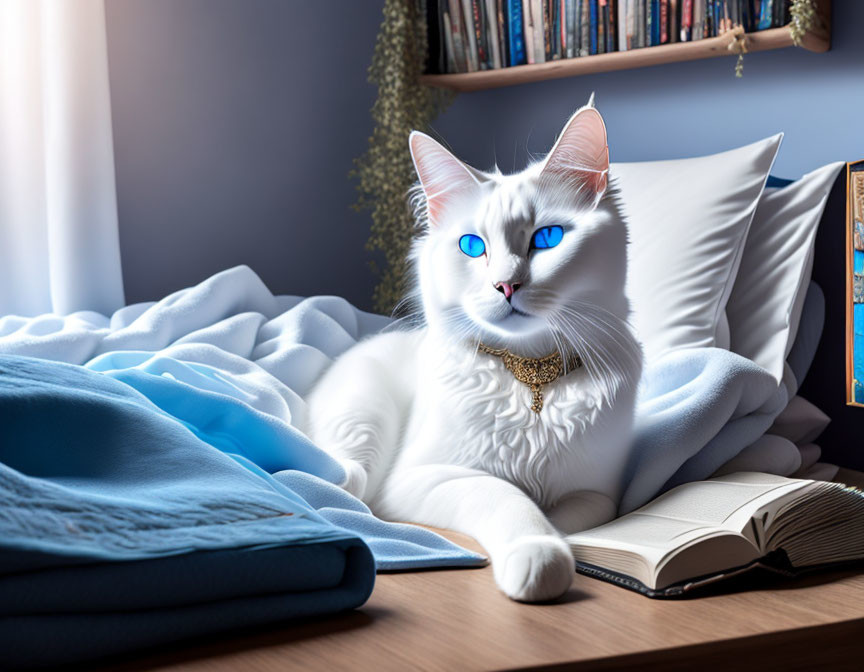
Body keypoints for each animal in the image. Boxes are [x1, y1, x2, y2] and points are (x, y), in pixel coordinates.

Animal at [308, 101, 640, 604]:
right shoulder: (424, 477)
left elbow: (562, 516)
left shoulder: (597, 493)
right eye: (472, 246)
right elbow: (507, 497)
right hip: (363, 425)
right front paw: (541, 556)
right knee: (344, 482)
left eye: (547, 238)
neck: (530, 376)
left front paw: (558, 538)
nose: (506, 285)